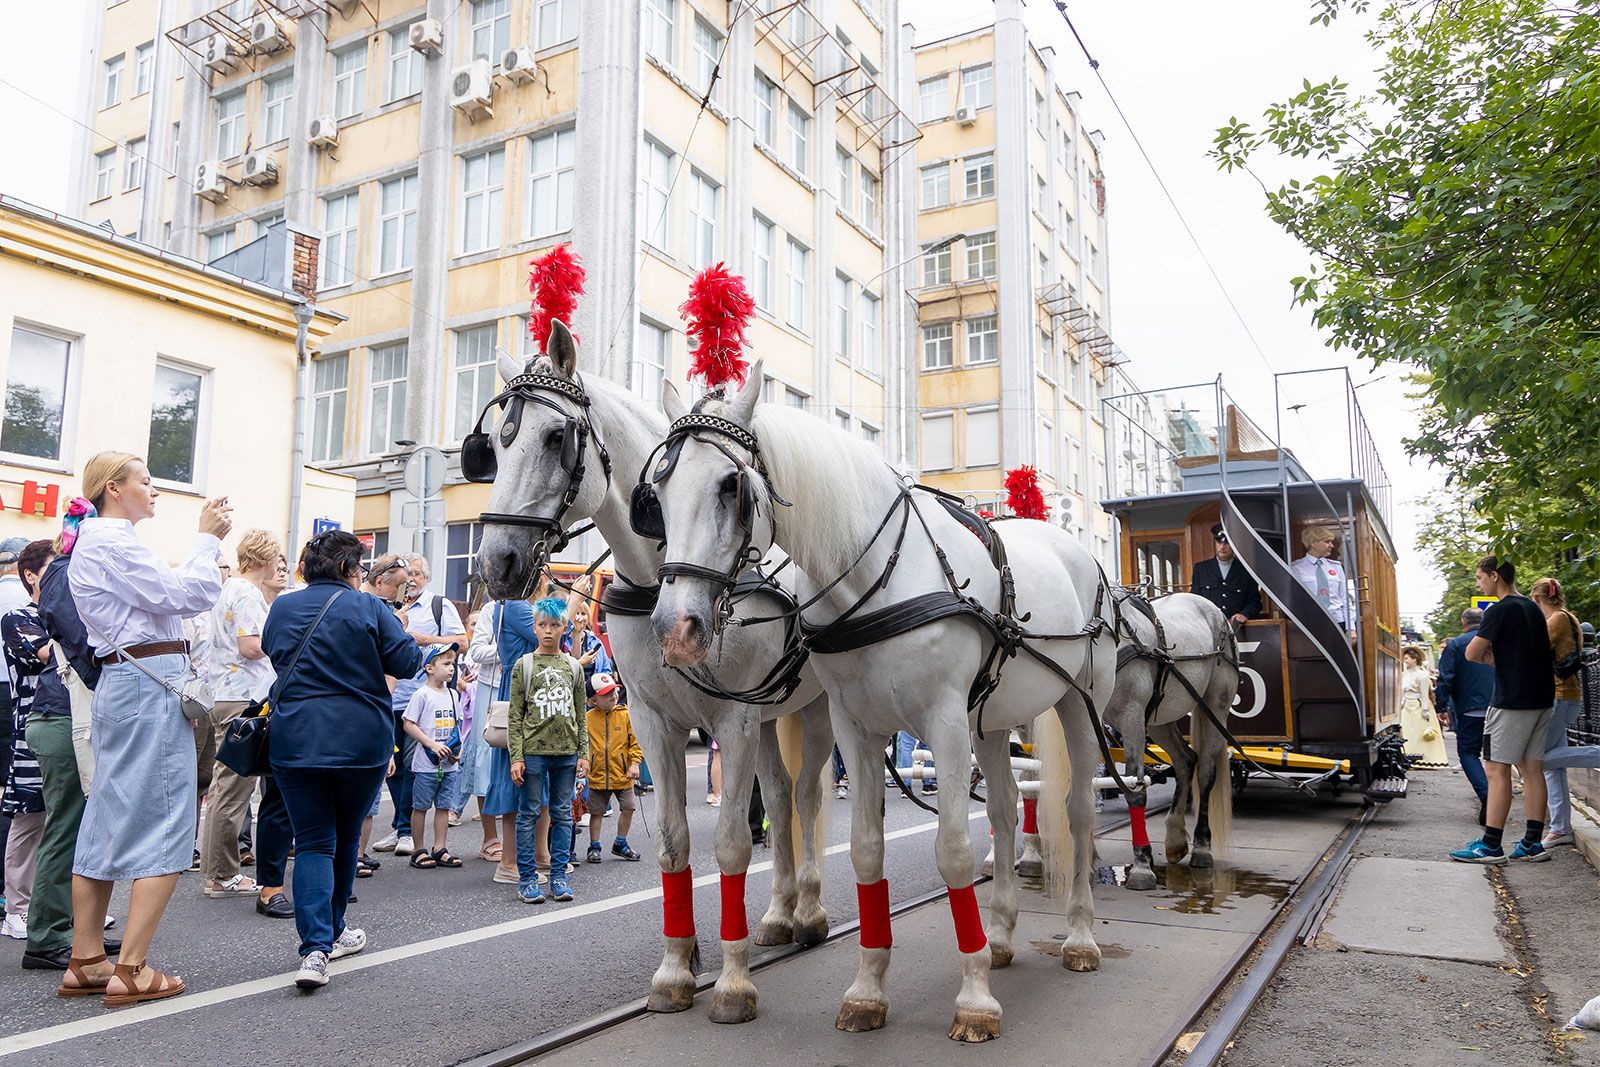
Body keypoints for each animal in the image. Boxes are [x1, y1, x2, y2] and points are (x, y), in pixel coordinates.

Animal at [467, 327, 832, 1023]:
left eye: (555, 438)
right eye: (496, 443)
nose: (497, 563)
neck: (661, 578)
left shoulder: (732, 719)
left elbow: (731, 844)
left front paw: (733, 984)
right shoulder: (653, 720)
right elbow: (672, 841)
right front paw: (676, 969)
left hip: (812, 709)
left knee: (805, 798)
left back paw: (812, 913)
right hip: (772, 715)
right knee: (777, 797)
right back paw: (779, 916)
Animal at [643, 369, 1120, 1043]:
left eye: (730, 486)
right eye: (657, 490)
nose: (674, 629)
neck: (875, 577)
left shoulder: (943, 726)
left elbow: (953, 850)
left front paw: (974, 998)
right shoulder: (858, 729)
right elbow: (868, 849)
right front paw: (868, 991)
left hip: (1079, 706)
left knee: (1077, 810)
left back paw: (1078, 936)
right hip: (990, 723)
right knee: (1004, 810)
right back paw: (1000, 936)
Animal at [1100, 591, 1235, 895]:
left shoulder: (1131, 715)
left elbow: (1134, 788)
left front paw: (1141, 865)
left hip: (1216, 706)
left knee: (1206, 772)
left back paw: (1202, 848)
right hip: (1158, 720)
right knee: (1185, 760)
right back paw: (1175, 838)